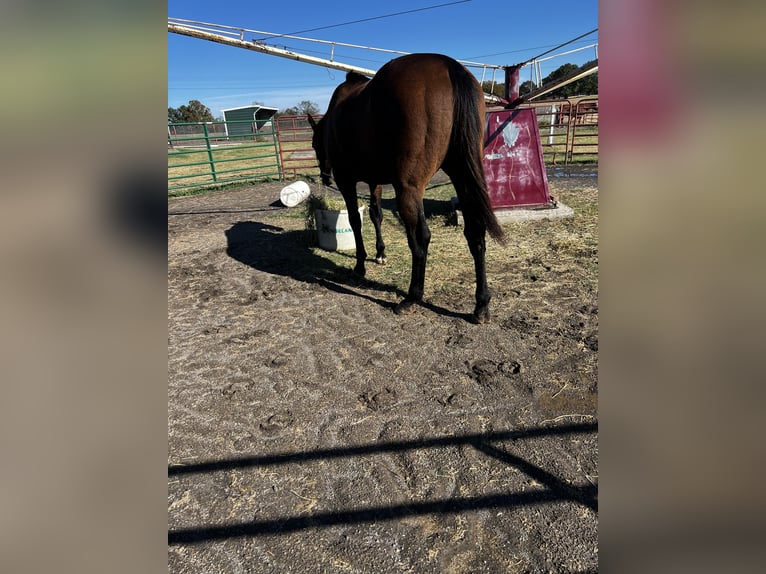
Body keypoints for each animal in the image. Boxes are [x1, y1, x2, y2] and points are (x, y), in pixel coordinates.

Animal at [308, 53, 508, 324]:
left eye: (314, 144)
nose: (325, 178)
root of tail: (448, 65)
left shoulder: (346, 180)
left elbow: (355, 221)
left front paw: (360, 265)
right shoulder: (375, 182)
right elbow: (376, 215)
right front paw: (380, 253)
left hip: (409, 189)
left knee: (420, 238)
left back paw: (413, 297)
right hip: (463, 177)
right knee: (475, 233)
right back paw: (481, 304)